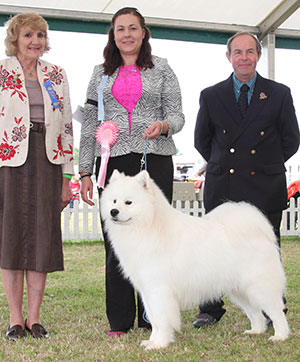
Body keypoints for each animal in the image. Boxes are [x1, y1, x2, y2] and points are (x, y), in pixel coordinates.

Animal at [101, 171, 288, 350]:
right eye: (114, 200)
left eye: (128, 202)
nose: (113, 211)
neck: (149, 226)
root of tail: (260, 232)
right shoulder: (147, 291)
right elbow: (154, 320)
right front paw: (151, 342)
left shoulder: (159, 291)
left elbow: (161, 321)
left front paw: (159, 344)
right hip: (240, 290)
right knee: (256, 312)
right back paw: (256, 331)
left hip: (259, 287)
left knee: (277, 311)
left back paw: (280, 336)